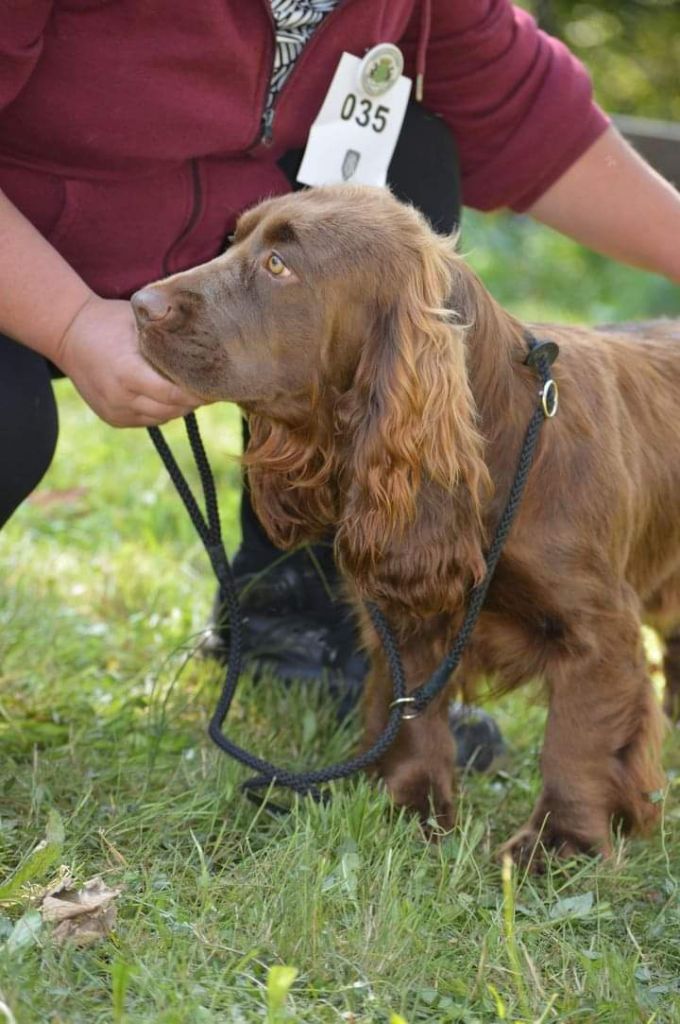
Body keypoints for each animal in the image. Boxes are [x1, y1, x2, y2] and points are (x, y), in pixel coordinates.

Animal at [130, 186, 675, 864]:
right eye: (232, 241)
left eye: (279, 265)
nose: (137, 305)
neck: (493, 468)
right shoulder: (407, 616)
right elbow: (414, 715)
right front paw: (410, 809)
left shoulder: (599, 634)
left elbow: (576, 744)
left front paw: (561, 844)